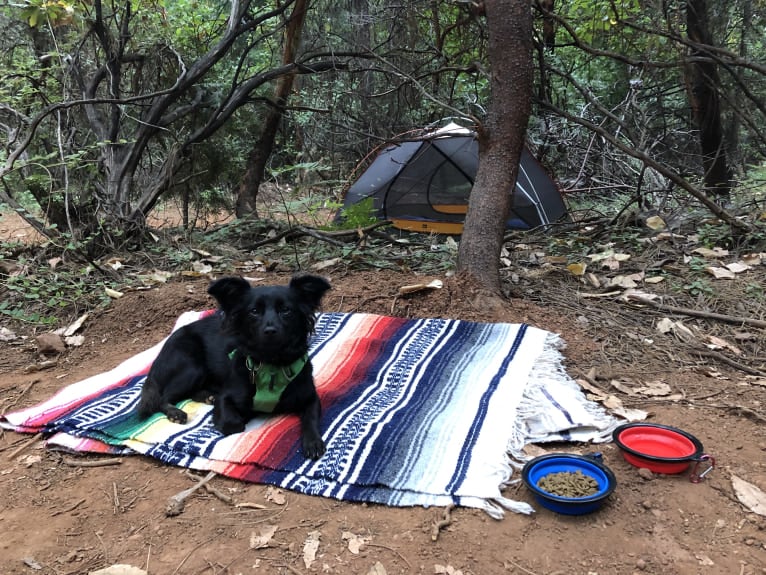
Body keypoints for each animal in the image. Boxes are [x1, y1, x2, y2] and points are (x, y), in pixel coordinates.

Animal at [136, 274, 332, 460]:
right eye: (254, 311)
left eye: (286, 310)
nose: (270, 331)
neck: (271, 363)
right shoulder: (227, 397)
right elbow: (233, 424)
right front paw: (243, 415)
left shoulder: (310, 397)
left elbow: (310, 419)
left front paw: (313, 442)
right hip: (192, 368)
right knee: (163, 397)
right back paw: (176, 412)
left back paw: (207, 396)